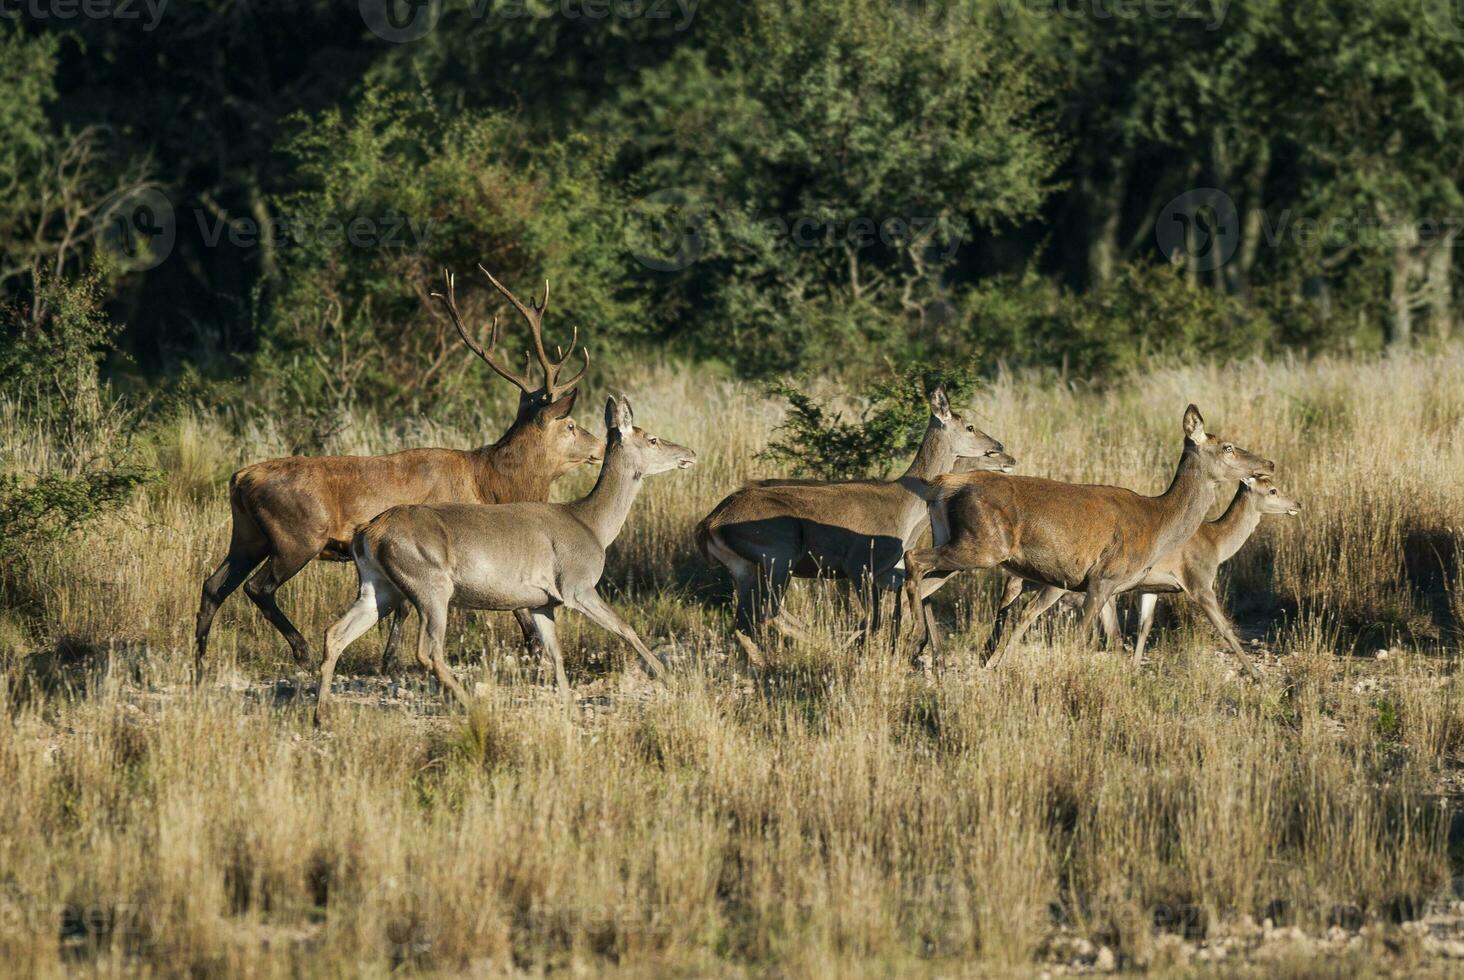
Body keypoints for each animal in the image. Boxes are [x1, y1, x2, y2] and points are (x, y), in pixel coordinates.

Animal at [196, 268, 600, 679]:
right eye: (570, 425)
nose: (599, 445)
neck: (490, 483)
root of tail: (239, 478)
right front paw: (392, 660)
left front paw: (390, 658)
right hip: (296, 536)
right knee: (258, 588)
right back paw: (303, 652)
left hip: (248, 535)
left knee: (214, 584)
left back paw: (200, 658)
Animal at [314, 392, 691, 723]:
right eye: (653, 439)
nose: (690, 452)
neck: (592, 524)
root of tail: (369, 532)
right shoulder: (577, 586)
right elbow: (626, 629)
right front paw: (671, 680)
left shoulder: (542, 602)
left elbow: (555, 653)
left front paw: (570, 707)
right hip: (430, 584)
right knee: (427, 650)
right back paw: (470, 704)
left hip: (379, 587)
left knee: (336, 633)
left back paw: (321, 714)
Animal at [693, 386, 1007, 667]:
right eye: (969, 426)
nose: (1000, 447)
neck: (904, 505)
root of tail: (710, 522)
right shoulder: (860, 565)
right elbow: (874, 619)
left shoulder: (882, 572)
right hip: (779, 557)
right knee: (769, 613)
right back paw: (822, 648)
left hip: (745, 568)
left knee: (744, 622)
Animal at [901, 404, 1270, 673]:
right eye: (1228, 447)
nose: (1268, 463)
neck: (1158, 522)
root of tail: (945, 485)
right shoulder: (1103, 577)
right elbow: (1082, 638)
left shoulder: (1107, 585)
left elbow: (1116, 640)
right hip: (982, 544)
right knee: (911, 559)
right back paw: (915, 643)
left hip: (957, 544)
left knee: (921, 582)